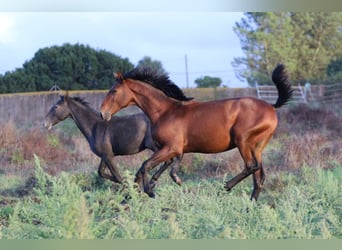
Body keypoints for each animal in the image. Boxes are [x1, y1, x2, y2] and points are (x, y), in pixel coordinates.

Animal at [43, 94, 182, 187]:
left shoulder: (108, 156)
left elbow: (117, 176)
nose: (45, 124)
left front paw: (129, 187)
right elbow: (101, 172)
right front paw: (131, 182)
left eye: (56, 107)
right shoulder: (105, 156)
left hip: (156, 146)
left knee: (168, 160)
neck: (95, 126)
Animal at [100, 64, 292, 201]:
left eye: (114, 91)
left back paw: (225, 187)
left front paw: (149, 191)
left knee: (251, 167)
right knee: (259, 177)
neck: (165, 111)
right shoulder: (170, 150)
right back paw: (249, 207)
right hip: (257, 146)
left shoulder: (171, 148)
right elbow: (157, 168)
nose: (103, 113)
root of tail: (271, 106)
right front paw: (138, 192)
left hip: (243, 141)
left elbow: (145, 165)